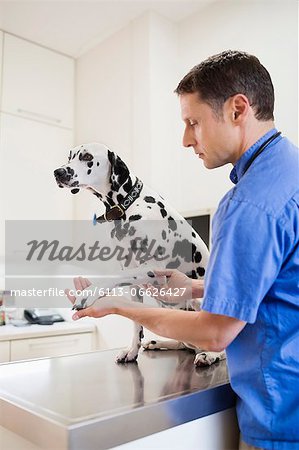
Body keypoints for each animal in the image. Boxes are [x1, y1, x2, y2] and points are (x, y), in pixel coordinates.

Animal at [54, 142, 225, 368]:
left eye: (87, 157)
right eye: (70, 157)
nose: (58, 172)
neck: (128, 206)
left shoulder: (152, 269)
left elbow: (111, 278)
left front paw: (89, 292)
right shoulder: (133, 281)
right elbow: (136, 322)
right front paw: (132, 351)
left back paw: (211, 354)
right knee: (183, 341)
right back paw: (157, 342)